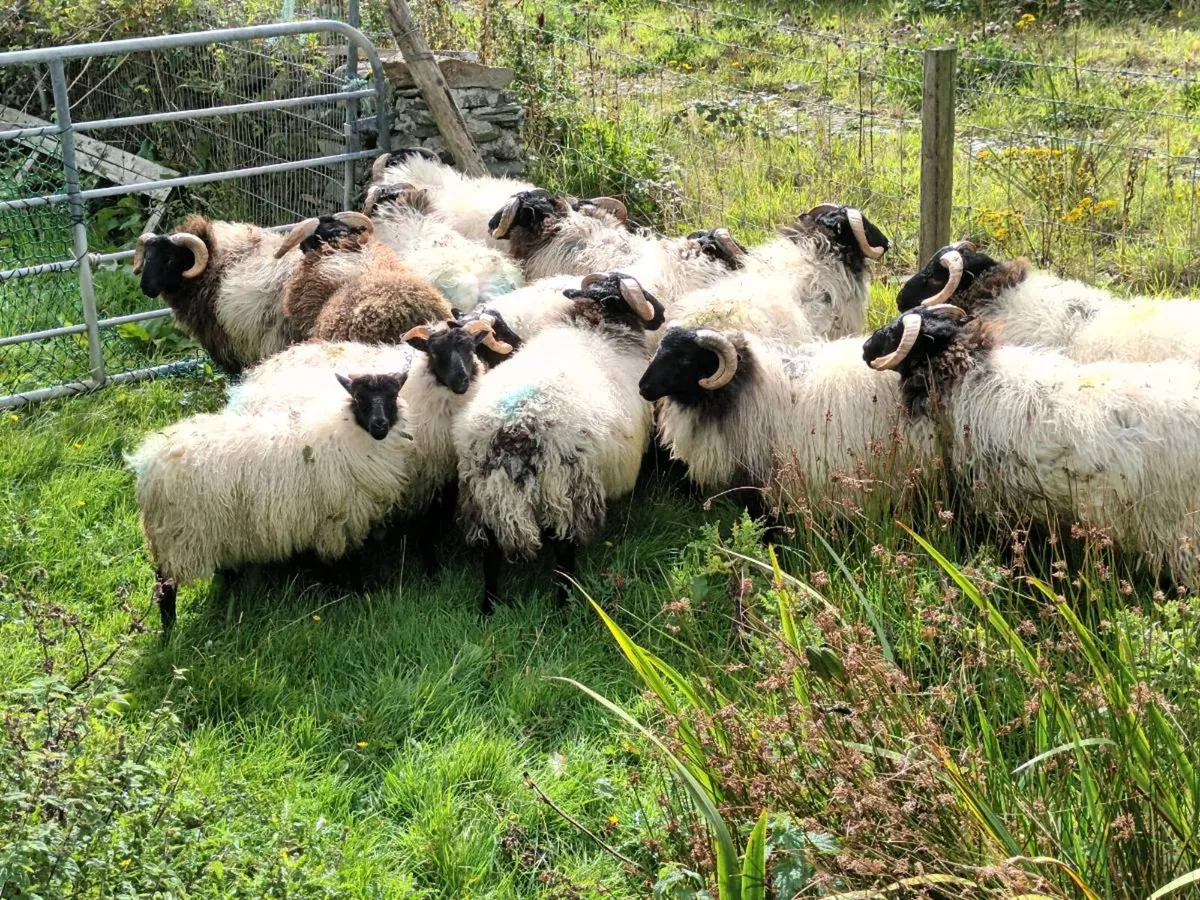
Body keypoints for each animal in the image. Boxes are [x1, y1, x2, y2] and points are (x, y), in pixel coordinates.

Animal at [128, 369, 412, 637]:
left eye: (393, 395)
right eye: (359, 399)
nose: (380, 425)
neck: (348, 434)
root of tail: (150, 464)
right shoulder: (339, 521)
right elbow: (346, 562)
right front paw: (354, 594)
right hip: (181, 535)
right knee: (166, 587)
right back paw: (169, 633)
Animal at [454, 272, 666, 612]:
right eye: (639, 292)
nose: (660, 312)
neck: (595, 322)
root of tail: (513, 431)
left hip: (483, 494)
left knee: (490, 555)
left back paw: (489, 607)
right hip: (565, 490)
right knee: (564, 552)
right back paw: (565, 603)